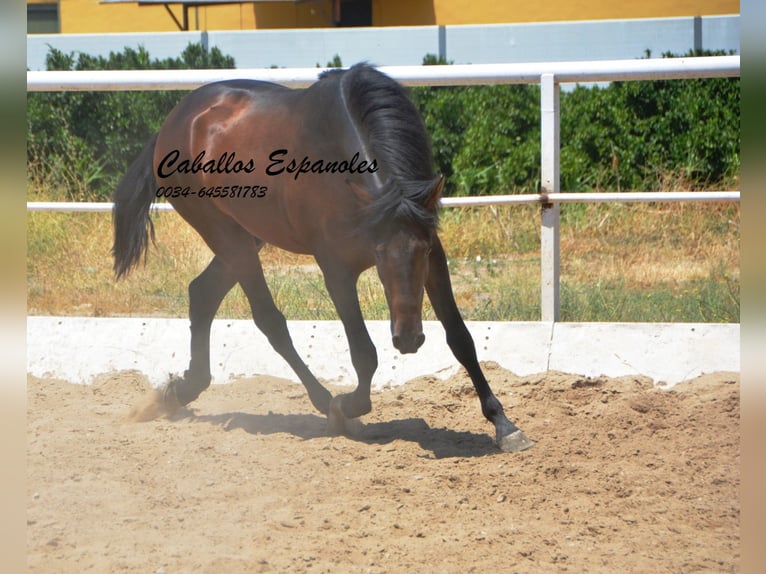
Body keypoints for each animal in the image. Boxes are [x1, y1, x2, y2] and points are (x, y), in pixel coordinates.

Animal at [112, 63, 536, 454]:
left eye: (424, 251)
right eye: (379, 255)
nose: (408, 339)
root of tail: (174, 123)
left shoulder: (435, 260)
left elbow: (461, 337)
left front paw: (504, 424)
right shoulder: (336, 268)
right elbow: (365, 354)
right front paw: (345, 406)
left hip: (247, 237)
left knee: (202, 294)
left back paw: (176, 393)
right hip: (226, 236)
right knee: (268, 321)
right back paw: (321, 402)